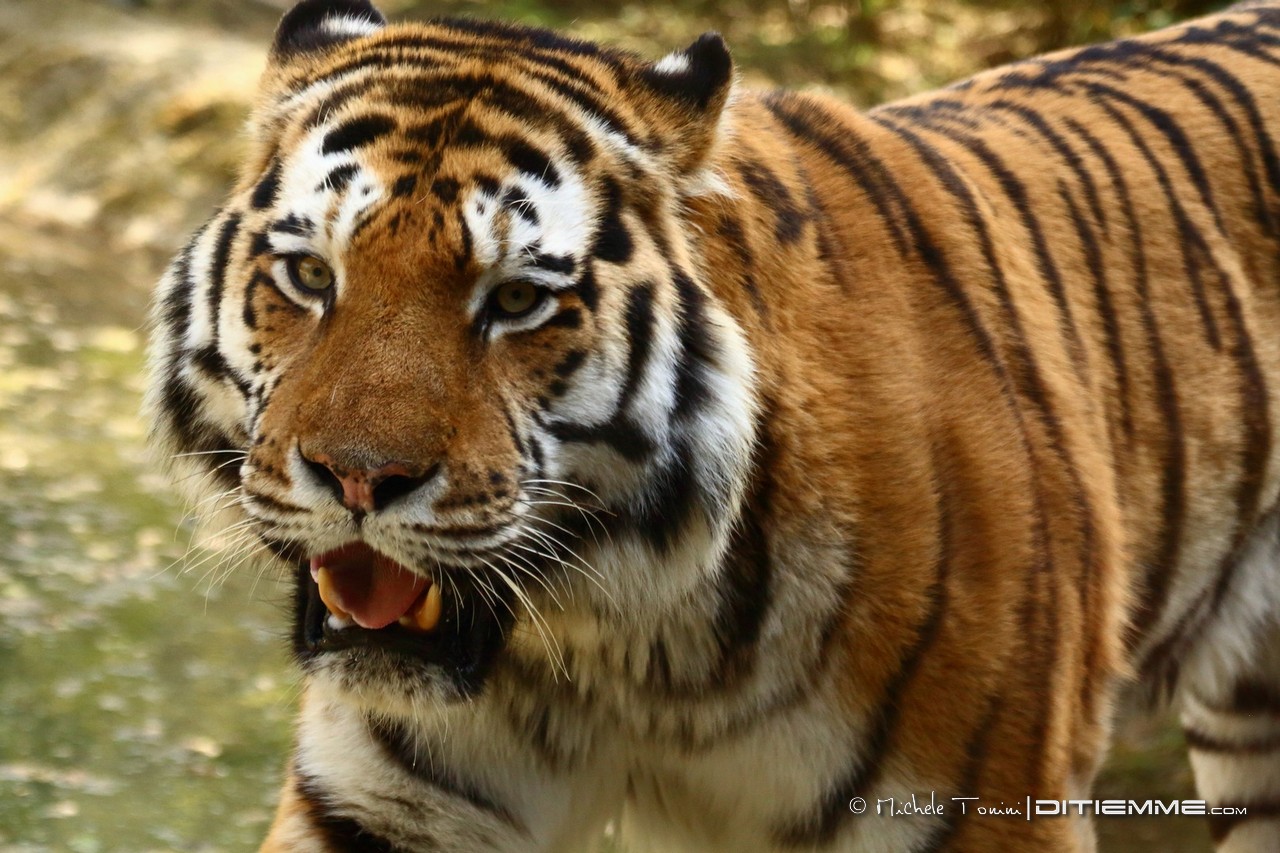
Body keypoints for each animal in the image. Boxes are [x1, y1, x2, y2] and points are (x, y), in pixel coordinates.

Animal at [143, 0, 1280, 849]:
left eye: (515, 301)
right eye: (308, 276)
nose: (358, 478)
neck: (625, 648)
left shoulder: (990, 805)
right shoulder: (387, 803)